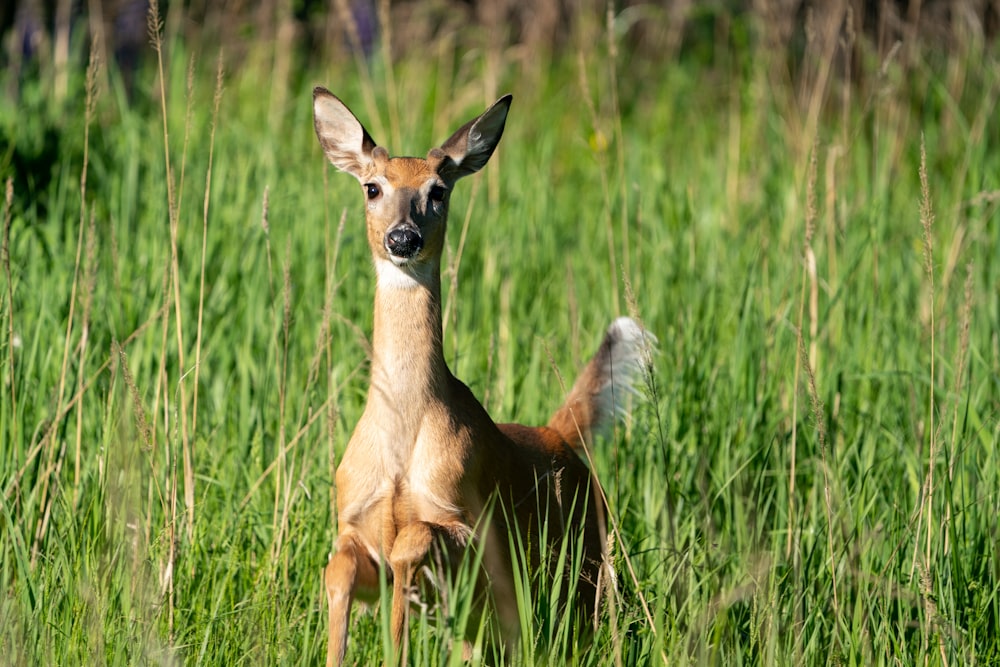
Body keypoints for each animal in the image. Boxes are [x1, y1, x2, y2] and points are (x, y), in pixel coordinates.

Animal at [314, 86, 656, 664]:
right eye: (372, 187)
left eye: (438, 190)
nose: (402, 238)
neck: (401, 441)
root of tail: (559, 434)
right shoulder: (354, 520)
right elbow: (336, 570)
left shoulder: (472, 524)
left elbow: (413, 540)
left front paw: (398, 637)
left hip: (586, 565)